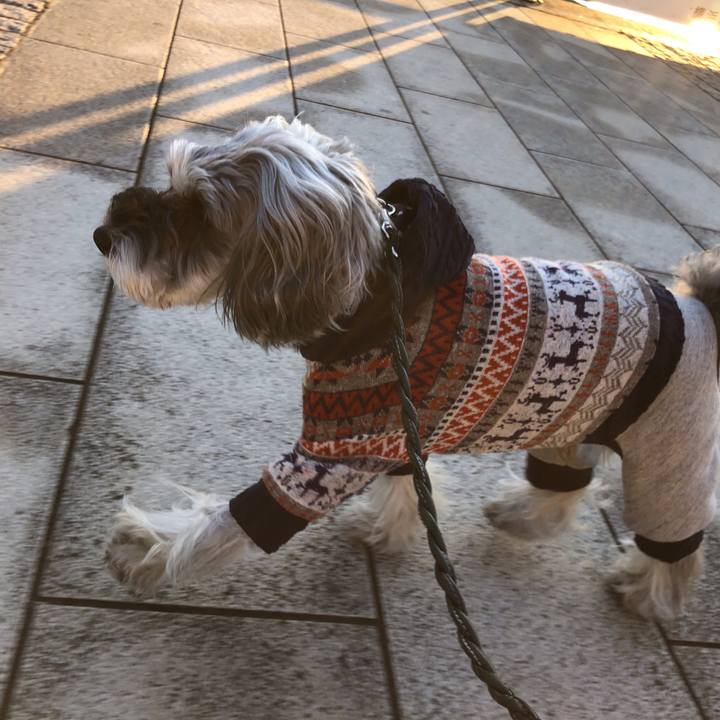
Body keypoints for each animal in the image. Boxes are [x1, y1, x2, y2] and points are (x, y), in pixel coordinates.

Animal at [94, 115, 719, 621]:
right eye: (172, 182)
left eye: (198, 211)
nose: (102, 235)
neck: (374, 293)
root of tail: (701, 310)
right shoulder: (391, 434)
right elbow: (405, 489)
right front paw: (384, 530)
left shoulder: (328, 459)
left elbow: (229, 524)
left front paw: (146, 548)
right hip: (571, 419)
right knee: (565, 485)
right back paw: (517, 514)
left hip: (668, 456)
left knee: (675, 539)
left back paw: (646, 594)